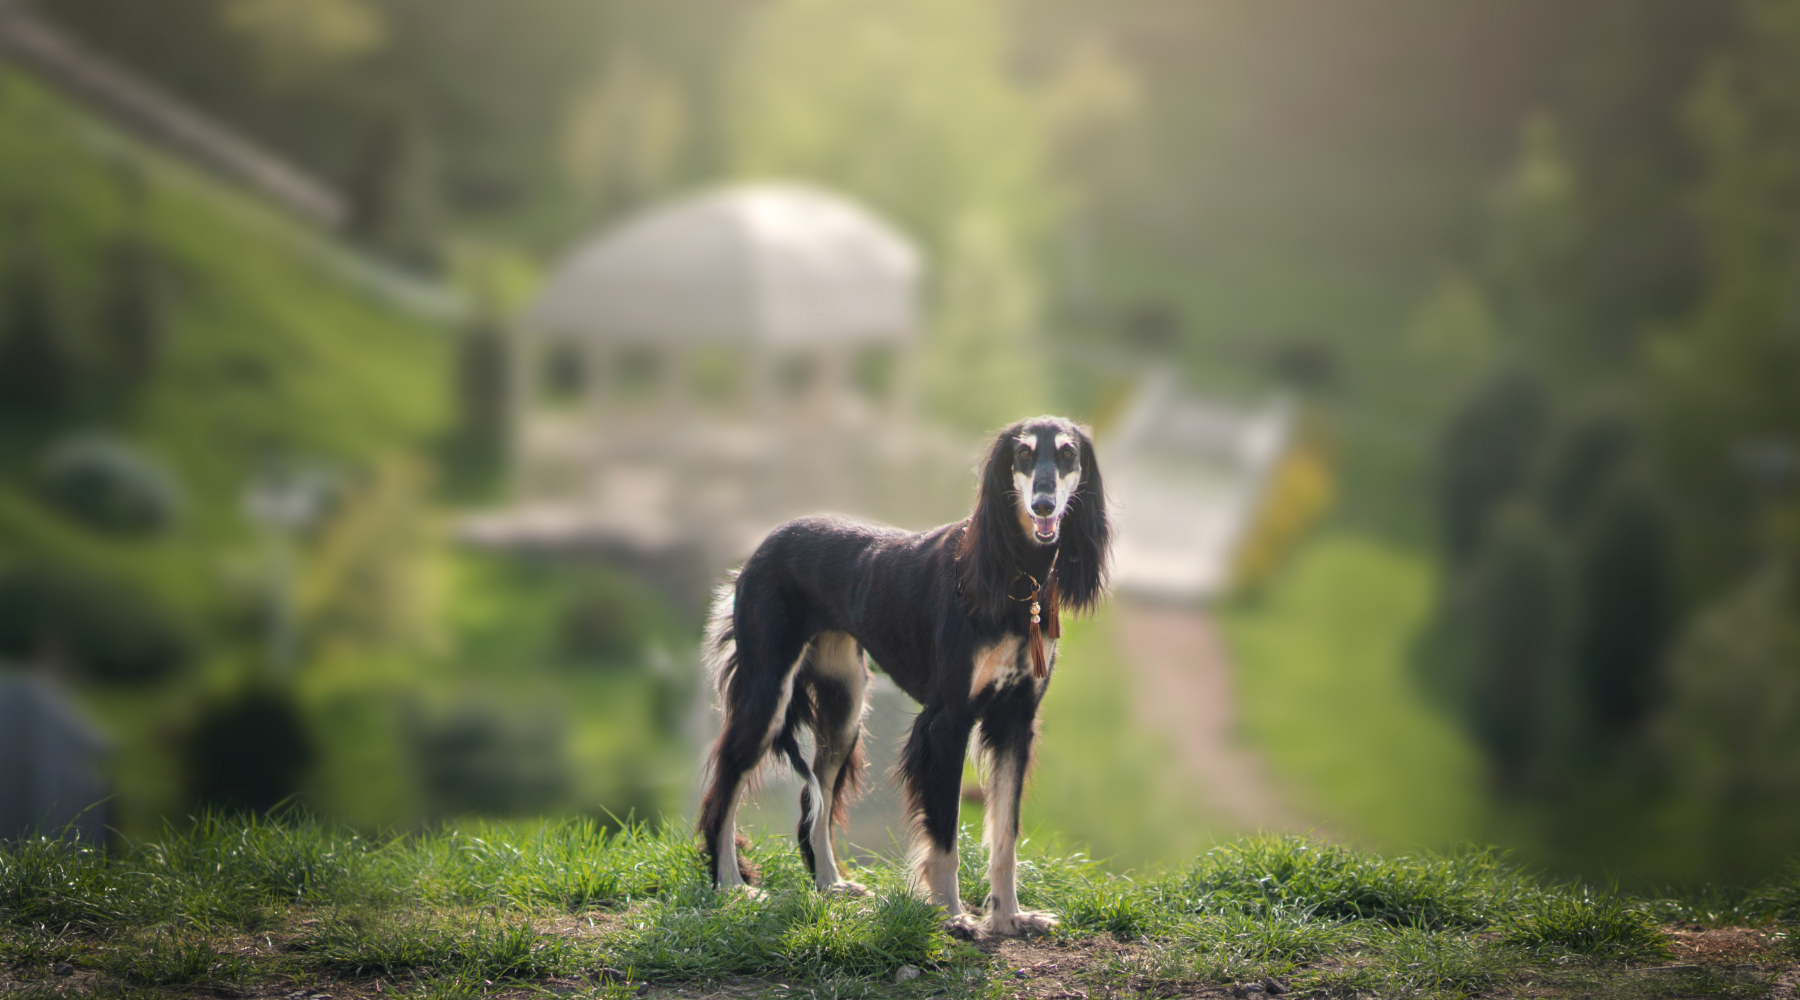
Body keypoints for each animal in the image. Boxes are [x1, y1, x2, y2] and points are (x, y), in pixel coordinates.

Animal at [698, 413, 1108, 935]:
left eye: (1068, 453)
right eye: (1022, 454)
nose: (1043, 504)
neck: (1017, 576)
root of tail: (766, 542)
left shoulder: (1015, 719)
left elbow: (1005, 835)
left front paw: (1009, 916)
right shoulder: (947, 721)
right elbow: (945, 833)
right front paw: (953, 916)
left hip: (845, 707)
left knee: (816, 802)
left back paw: (830, 884)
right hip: (767, 693)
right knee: (725, 786)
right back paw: (730, 884)